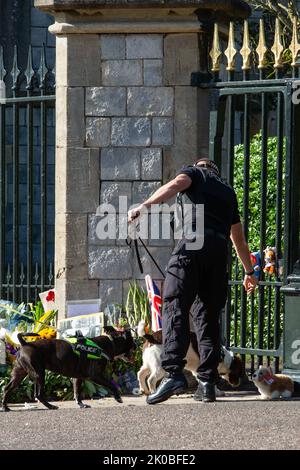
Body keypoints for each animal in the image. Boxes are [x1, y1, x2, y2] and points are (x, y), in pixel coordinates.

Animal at [0, 326, 135, 412]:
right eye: (133, 342)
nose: (136, 346)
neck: (110, 343)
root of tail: (25, 344)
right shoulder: (96, 375)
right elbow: (111, 385)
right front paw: (118, 397)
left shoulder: (78, 378)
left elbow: (77, 392)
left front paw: (81, 405)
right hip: (39, 374)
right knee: (38, 394)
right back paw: (51, 406)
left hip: (19, 375)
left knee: (7, 388)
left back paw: (5, 407)